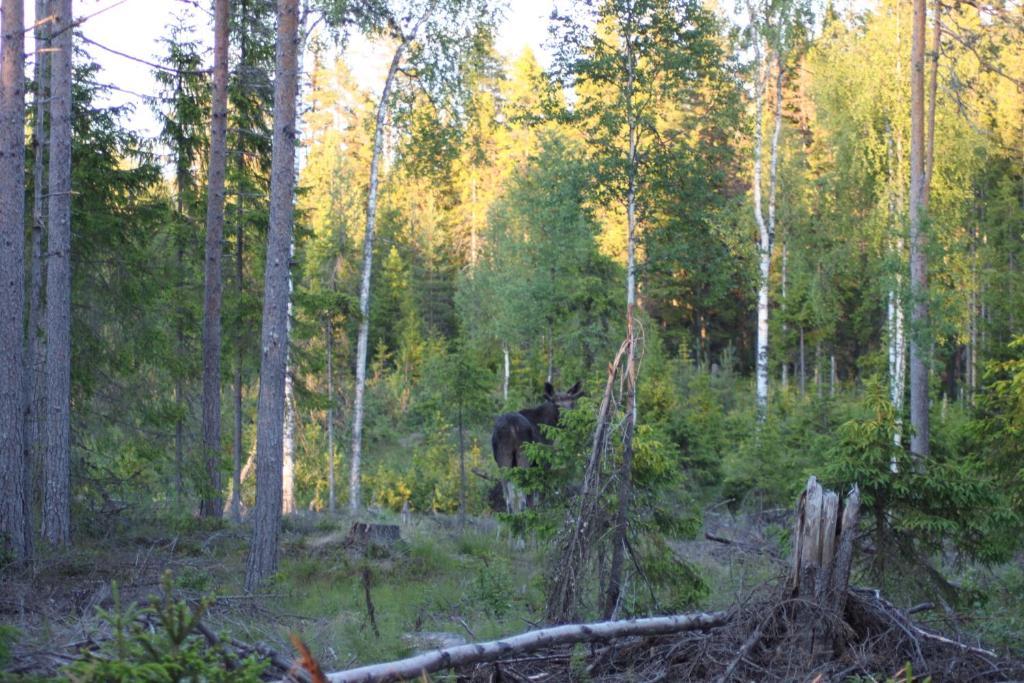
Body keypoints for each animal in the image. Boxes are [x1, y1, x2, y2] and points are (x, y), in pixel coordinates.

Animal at [489, 378, 581, 511]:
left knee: (508, 497)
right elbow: (537, 495)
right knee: (521, 497)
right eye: (557, 405)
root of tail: (511, 427)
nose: (570, 419)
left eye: (572, 403)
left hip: (503, 458)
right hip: (523, 455)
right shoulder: (543, 462)